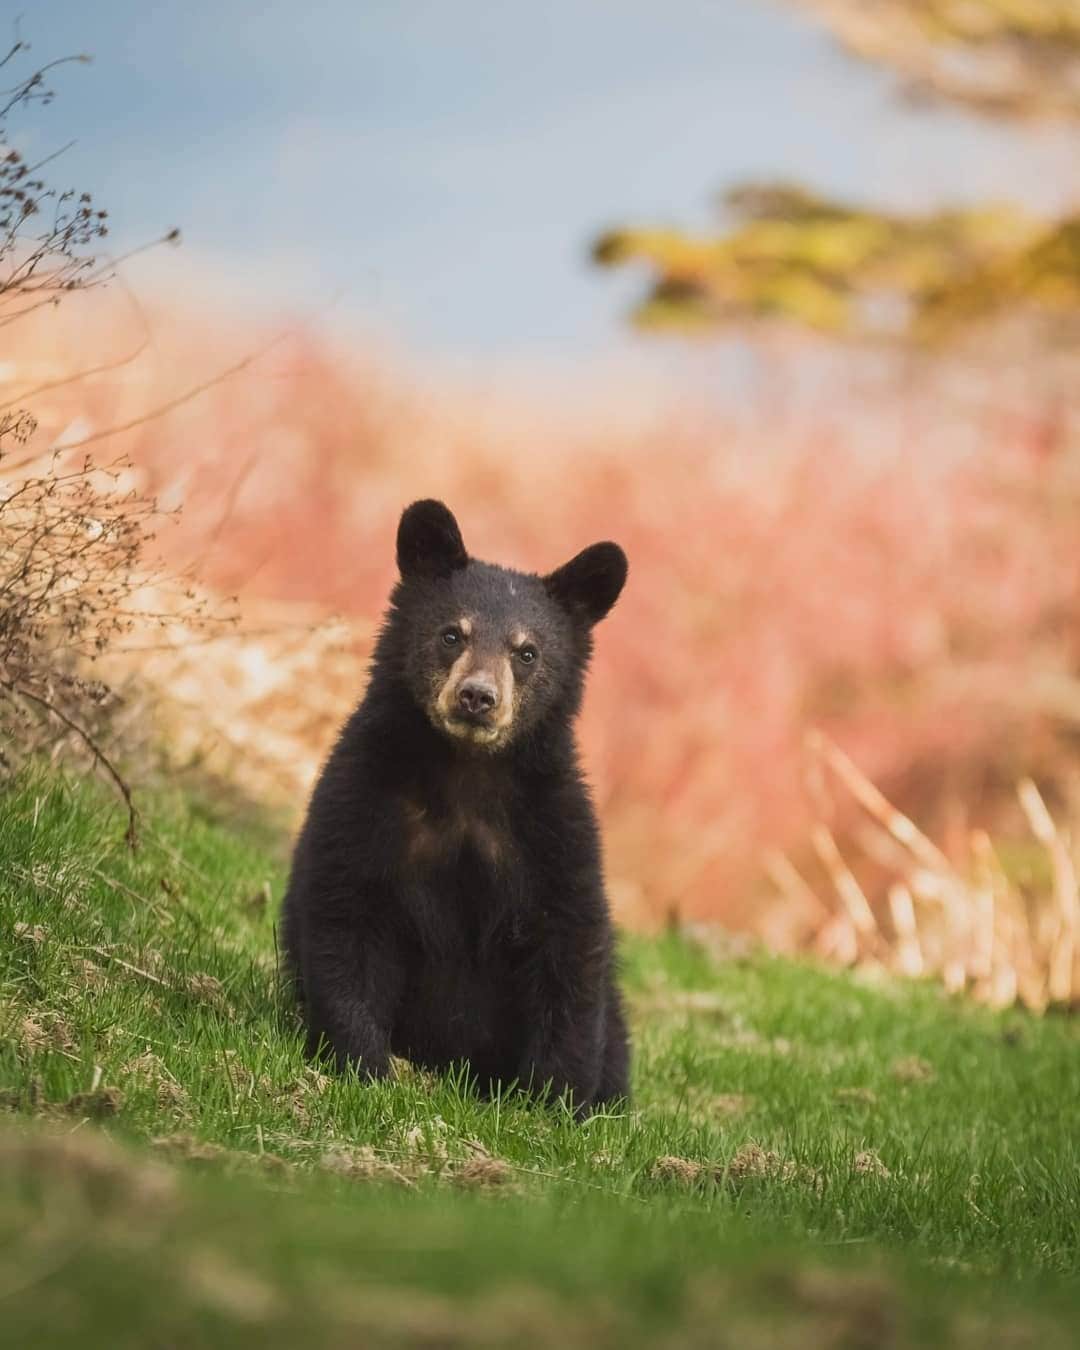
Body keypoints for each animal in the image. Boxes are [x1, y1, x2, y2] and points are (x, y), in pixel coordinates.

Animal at [281, 498, 630, 1116]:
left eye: (527, 651)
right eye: (451, 634)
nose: (477, 697)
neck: (466, 772)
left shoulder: (555, 832)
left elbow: (569, 947)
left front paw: (552, 1103)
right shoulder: (361, 798)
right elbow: (346, 918)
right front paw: (363, 1067)